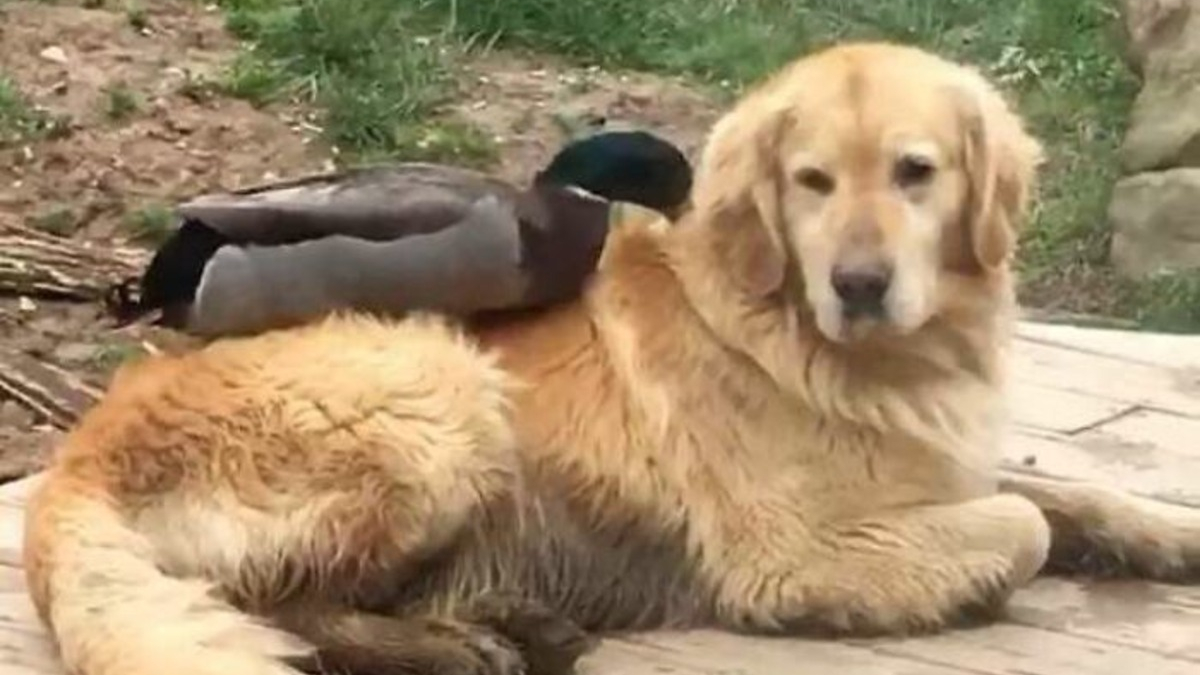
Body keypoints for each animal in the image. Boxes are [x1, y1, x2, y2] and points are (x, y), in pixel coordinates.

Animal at [21, 40, 1200, 672]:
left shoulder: (939, 464)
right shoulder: (792, 553)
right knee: (281, 609)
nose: (860, 287)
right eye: (812, 181)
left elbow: (1069, 495)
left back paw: (511, 619)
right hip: (438, 398)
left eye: (917, 172)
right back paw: (459, 641)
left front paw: (1162, 534)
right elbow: (1023, 528)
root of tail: (79, 449)